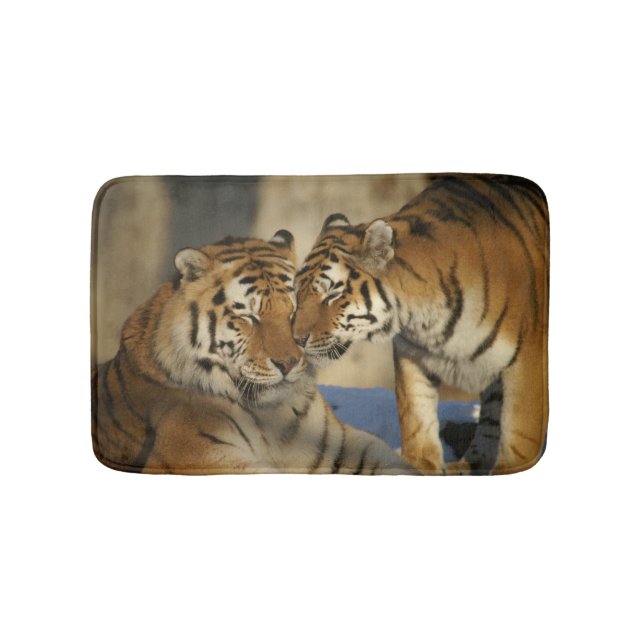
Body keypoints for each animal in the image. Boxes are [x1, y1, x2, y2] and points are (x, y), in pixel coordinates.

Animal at [91, 231, 415, 475]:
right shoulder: (201, 454)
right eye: (248, 316)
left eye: (295, 309)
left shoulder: (341, 447)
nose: (288, 363)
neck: (273, 416)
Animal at [292, 174, 549, 475]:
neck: (424, 319)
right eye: (298, 292)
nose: (296, 339)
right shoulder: (412, 355)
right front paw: (421, 465)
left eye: (332, 294)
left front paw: (513, 467)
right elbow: (417, 420)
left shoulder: (526, 359)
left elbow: (520, 432)